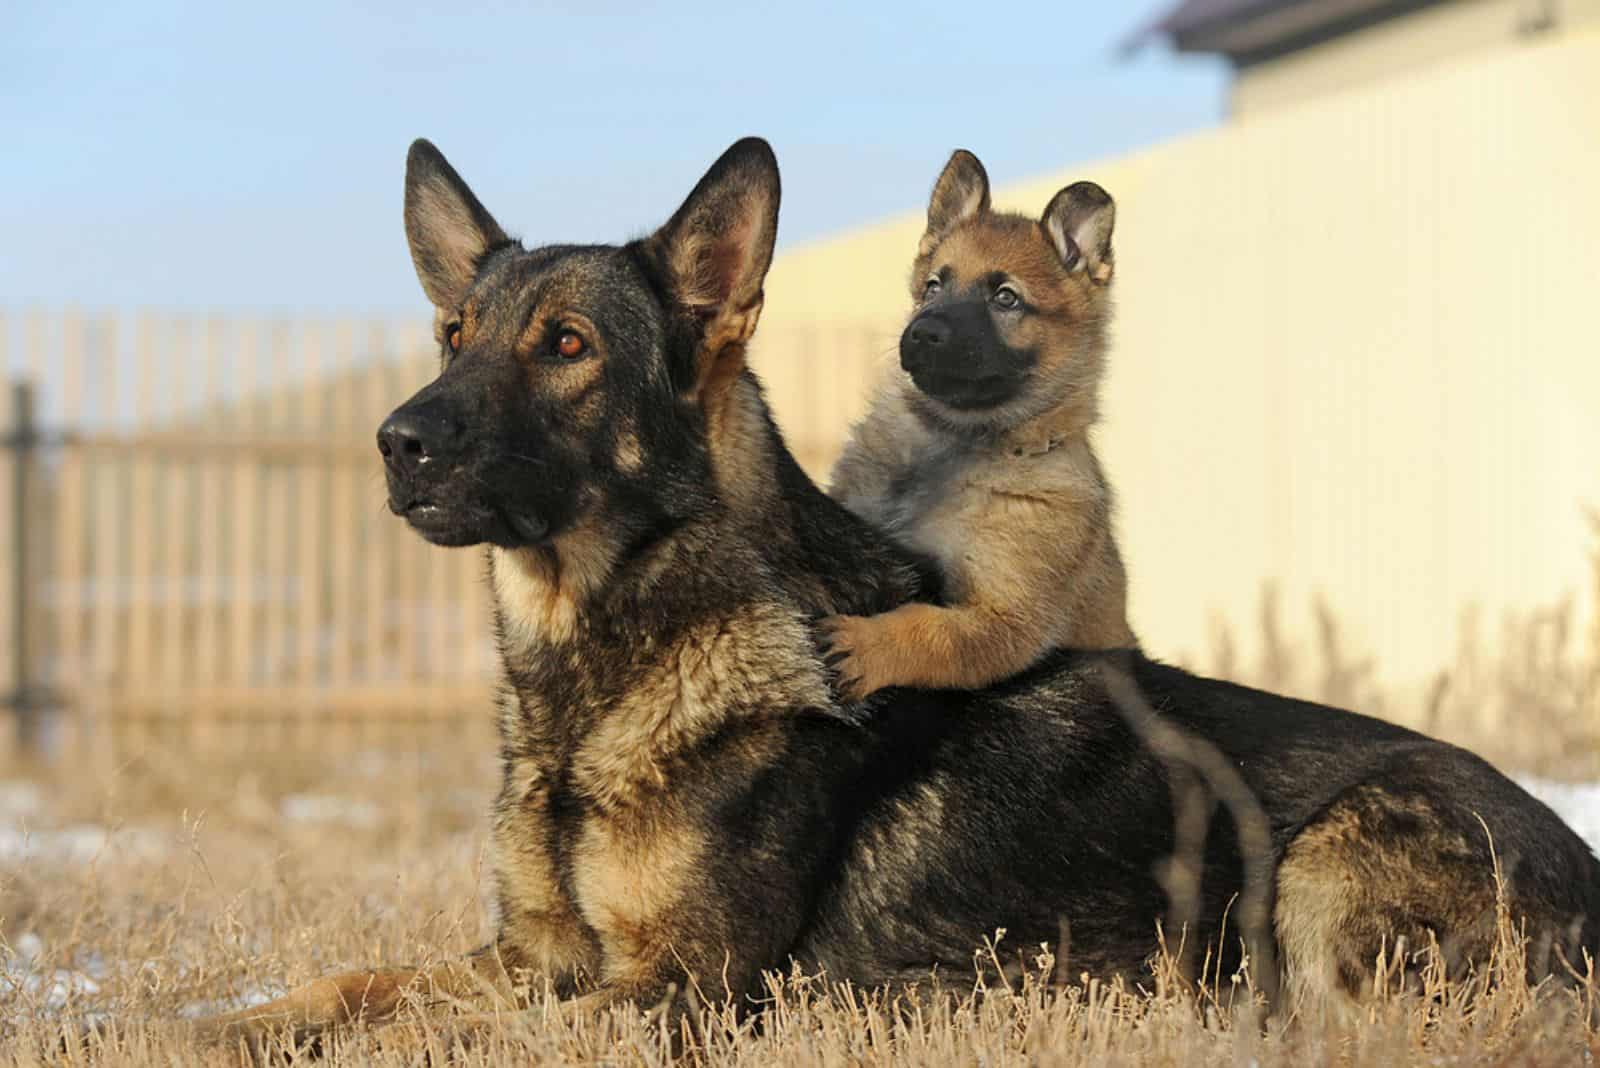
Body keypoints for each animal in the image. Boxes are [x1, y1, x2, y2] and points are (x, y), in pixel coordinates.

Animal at [825, 150, 1139, 700]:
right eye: (933, 286)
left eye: (1006, 298)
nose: (921, 333)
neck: (957, 443)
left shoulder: (1004, 618)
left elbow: (927, 628)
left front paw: (864, 647)